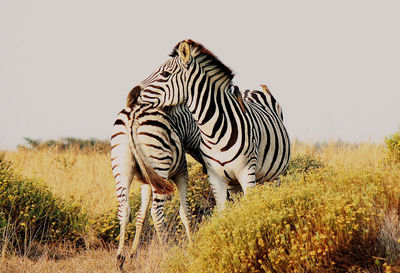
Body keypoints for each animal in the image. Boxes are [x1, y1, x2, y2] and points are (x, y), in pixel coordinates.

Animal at [111, 85, 202, 266]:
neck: (180, 127)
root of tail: (133, 113)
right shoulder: (182, 173)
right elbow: (185, 212)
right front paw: (192, 247)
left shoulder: (148, 181)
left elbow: (141, 215)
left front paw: (133, 253)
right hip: (159, 165)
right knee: (156, 213)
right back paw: (168, 254)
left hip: (122, 168)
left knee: (124, 209)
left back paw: (120, 258)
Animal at [138, 39, 290, 208]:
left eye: (165, 74)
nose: (133, 93)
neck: (214, 132)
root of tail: (252, 90)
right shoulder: (216, 178)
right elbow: (224, 210)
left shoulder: (247, 173)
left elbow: (249, 207)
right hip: (235, 183)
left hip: (274, 175)